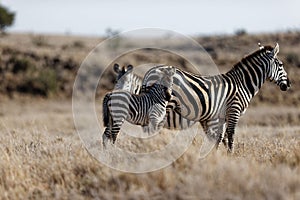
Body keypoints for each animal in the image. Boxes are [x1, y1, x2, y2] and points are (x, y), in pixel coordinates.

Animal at [142, 43, 290, 153]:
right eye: (281, 65)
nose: (288, 84)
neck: (242, 84)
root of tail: (150, 71)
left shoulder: (222, 116)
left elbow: (219, 137)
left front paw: (216, 155)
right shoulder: (234, 111)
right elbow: (230, 135)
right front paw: (231, 156)